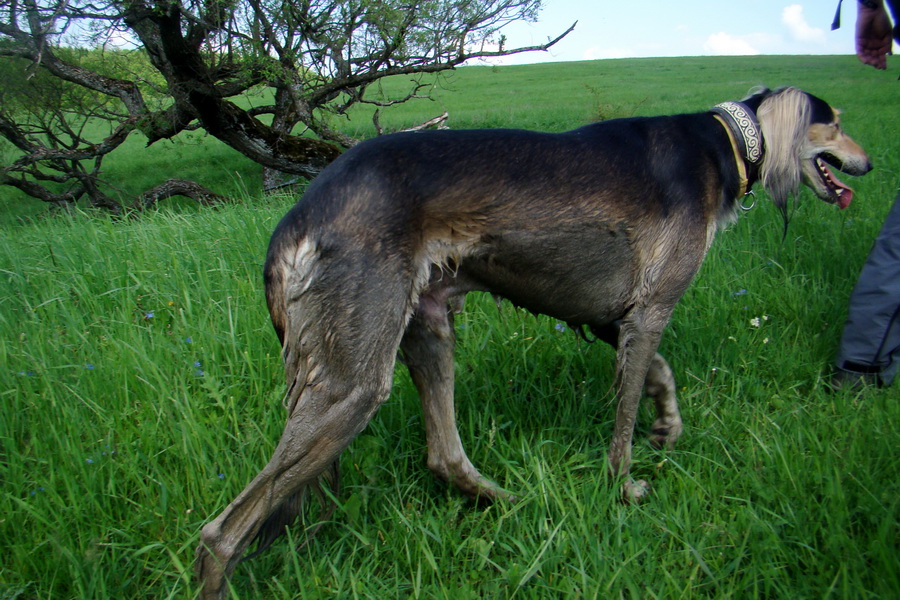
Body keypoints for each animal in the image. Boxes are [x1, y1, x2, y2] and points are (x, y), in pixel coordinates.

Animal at [195, 86, 872, 596]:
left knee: (444, 456)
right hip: (353, 385)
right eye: (835, 124)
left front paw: (668, 426)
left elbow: (659, 373)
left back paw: (514, 503)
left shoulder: (613, 316)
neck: (722, 142)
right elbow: (625, 419)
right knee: (219, 535)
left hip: (426, 328)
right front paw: (623, 488)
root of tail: (295, 218)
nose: (868, 166)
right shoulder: (651, 309)